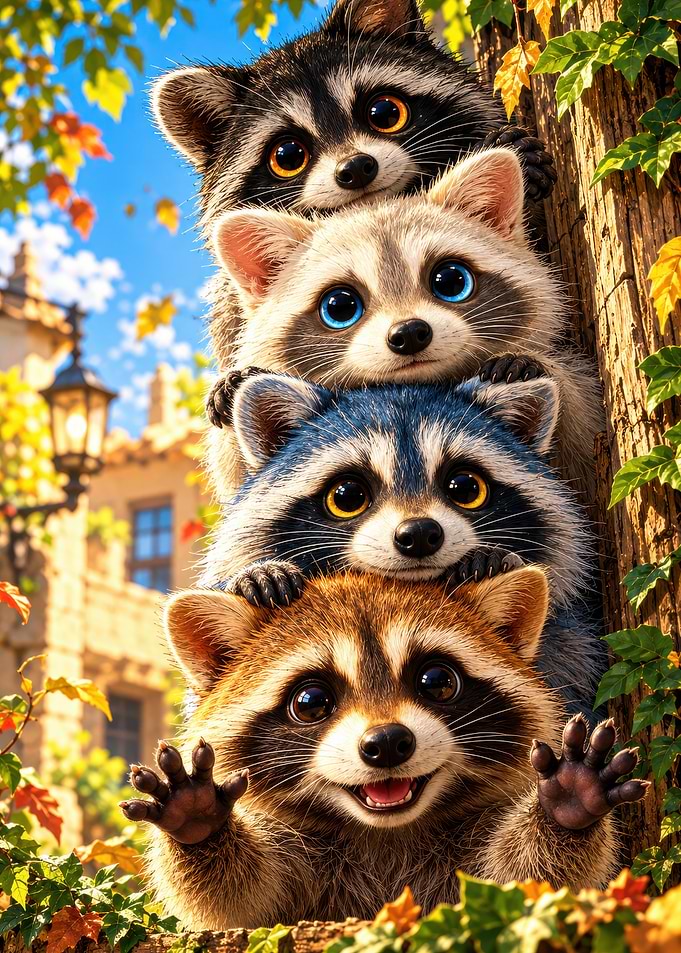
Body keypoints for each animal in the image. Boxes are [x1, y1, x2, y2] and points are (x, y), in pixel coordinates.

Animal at [121, 570, 648, 929]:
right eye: (311, 701)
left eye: (437, 681)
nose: (388, 743)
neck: (387, 833)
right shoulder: (299, 864)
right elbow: (238, 896)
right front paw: (200, 822)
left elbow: (529, 878)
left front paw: (565, 805)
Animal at [203, 371, 603, 717]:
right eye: (347, 496)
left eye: (466, 488)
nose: (420, 533)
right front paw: (257, 575)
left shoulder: (572, 642)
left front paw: (491, 562)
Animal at [207, 149, 601, 504]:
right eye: (340, 306)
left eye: (451, 281)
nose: (409, 333)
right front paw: (235, 390)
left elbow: (583, 448)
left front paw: (530, 365)